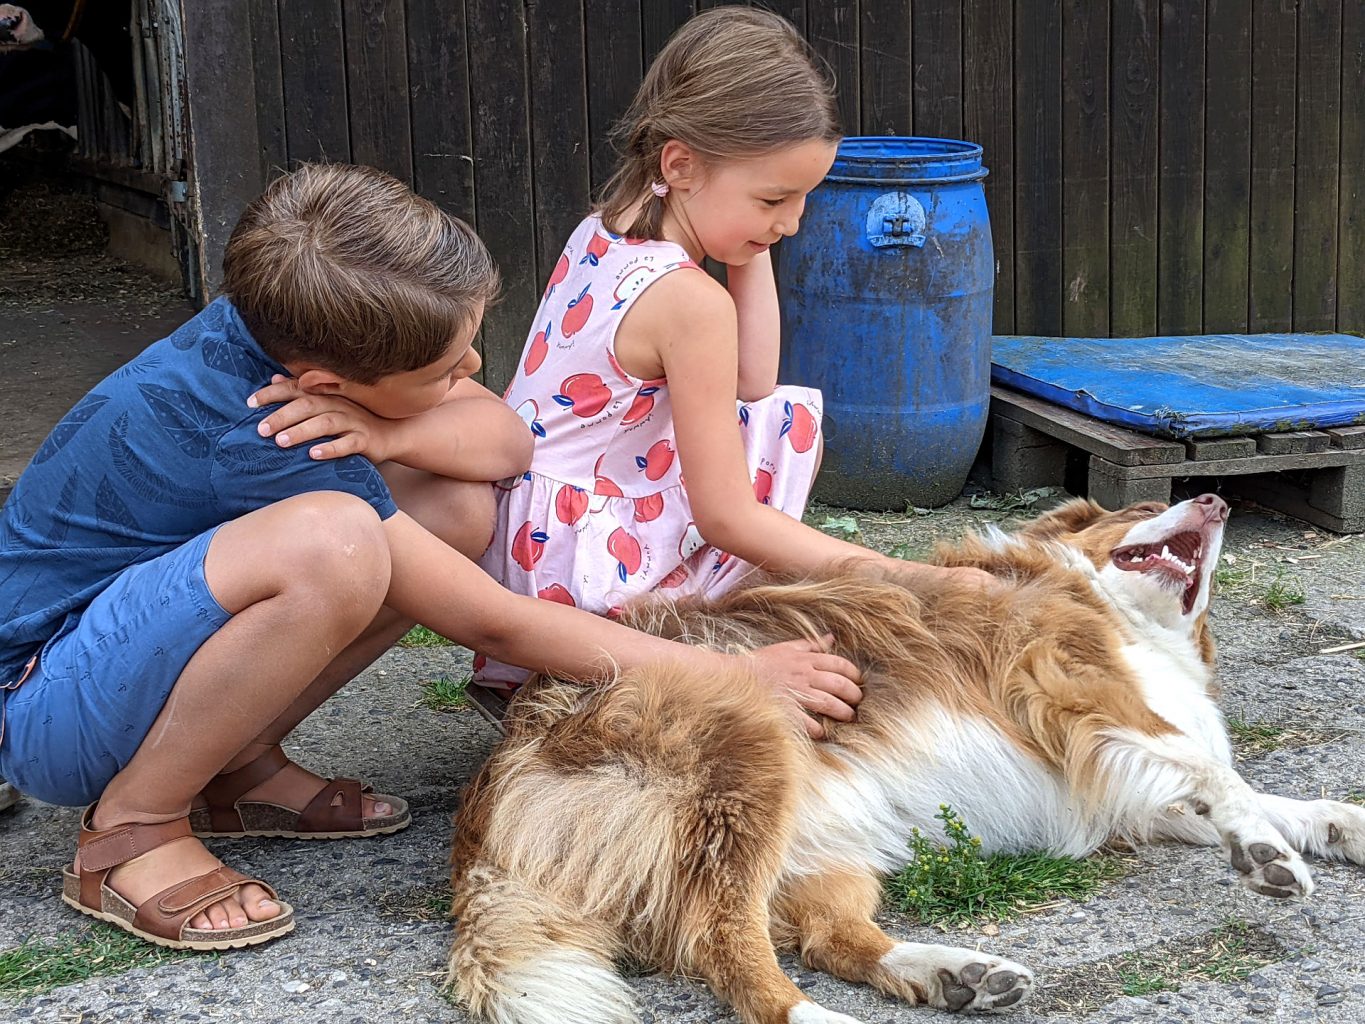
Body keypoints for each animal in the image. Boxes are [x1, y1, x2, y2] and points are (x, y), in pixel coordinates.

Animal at [447, 496, 1365, 1024]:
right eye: (1146, 503)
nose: (1214, 496)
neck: (1126, 617)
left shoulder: (1118, 784)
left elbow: (1254, 791)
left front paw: (1335, 825)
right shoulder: (1072, 695)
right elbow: (1214, 771)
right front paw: (1266, 856)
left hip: (829, 850)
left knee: (830, 939)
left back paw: (958, 974)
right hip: (751, 741)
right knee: (725, 945)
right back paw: (824, 1019)